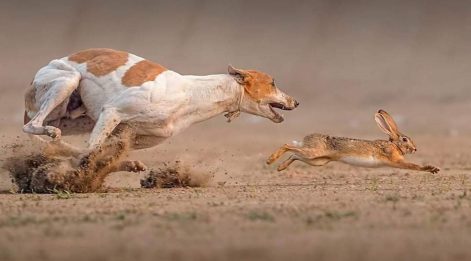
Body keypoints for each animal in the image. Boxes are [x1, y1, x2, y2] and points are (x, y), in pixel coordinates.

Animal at [23, 48, 298, 170]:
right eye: (273, 82)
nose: (296, 102)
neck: (191, 94)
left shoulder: (129, 134)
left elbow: (100, 152)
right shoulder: (112, 111)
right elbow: (92, 150)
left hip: (78, 118)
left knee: (58, 142)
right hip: (67, 82)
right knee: (32, 126)